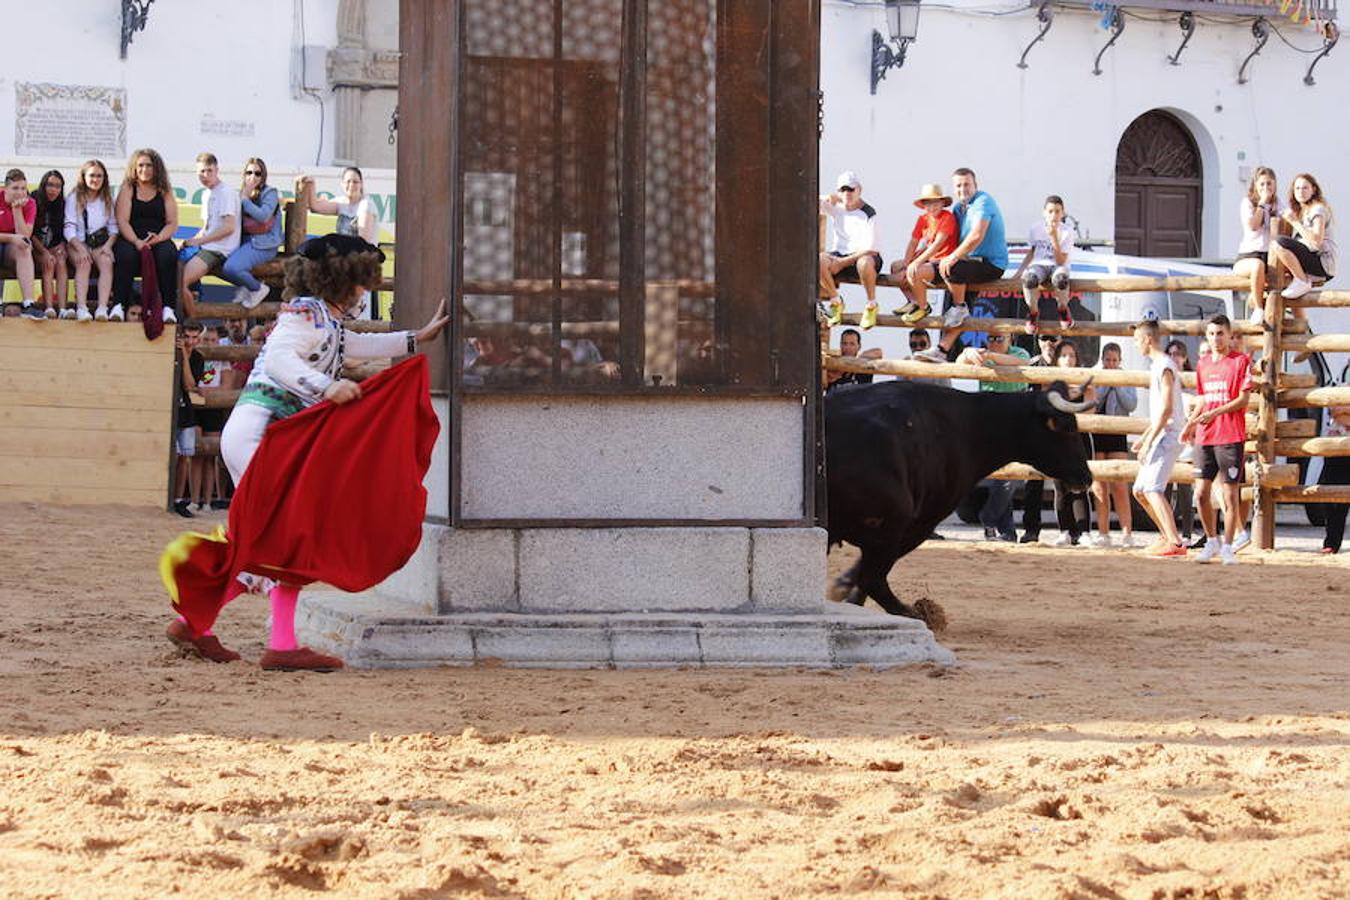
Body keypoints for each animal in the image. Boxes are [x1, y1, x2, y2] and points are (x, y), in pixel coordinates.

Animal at [820, 380, 1096, 620]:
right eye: (1068, 427)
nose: (1086, 477)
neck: (969, 424)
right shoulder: (919, 523)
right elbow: (868, 574)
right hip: (895, 519)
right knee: (874, 579)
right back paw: (914, 614)